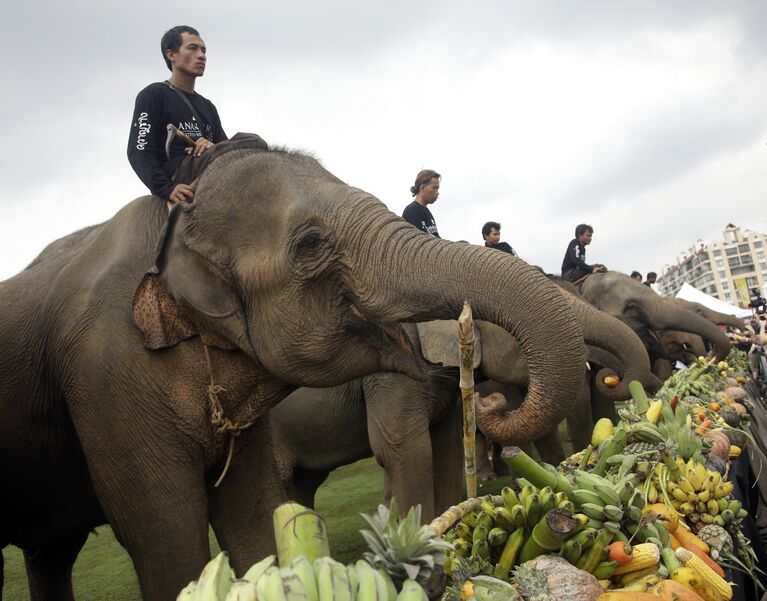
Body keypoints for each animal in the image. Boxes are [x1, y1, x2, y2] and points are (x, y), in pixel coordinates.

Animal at [0, 137, 588, 600]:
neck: (171, 229)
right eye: (310, 244)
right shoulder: (106, 377)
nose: (491, 409)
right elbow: (161, 522)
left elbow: (251, 504)